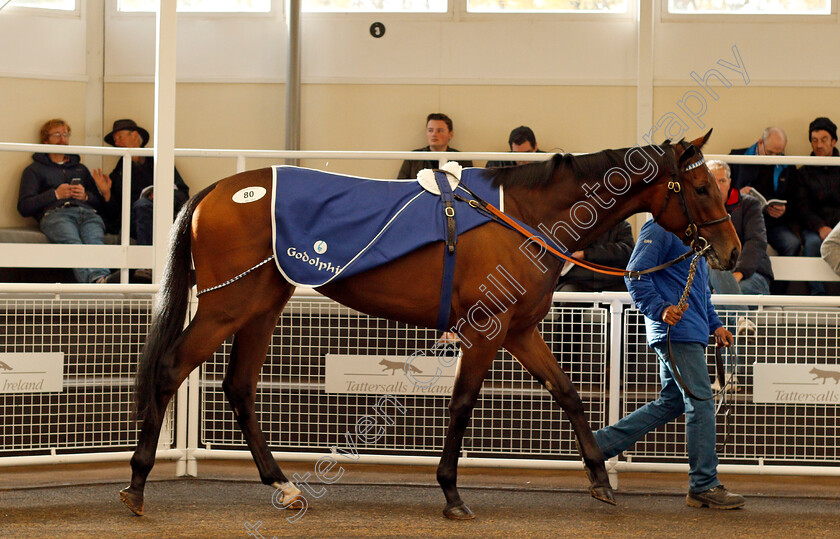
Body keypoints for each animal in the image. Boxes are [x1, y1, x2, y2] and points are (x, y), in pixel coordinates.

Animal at [121, 130, 740, 520]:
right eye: (701, 188)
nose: (731, 251)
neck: (520, 216)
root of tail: (216, 190)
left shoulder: (520, 330)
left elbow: (567, 393)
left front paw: (597, 480)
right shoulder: (488, 329)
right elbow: (463, 403)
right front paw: (451, 493)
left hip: (262, 305)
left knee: (240, 387)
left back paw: (285, 485)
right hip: (228, 305)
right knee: (172, 370)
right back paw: (137, 484)